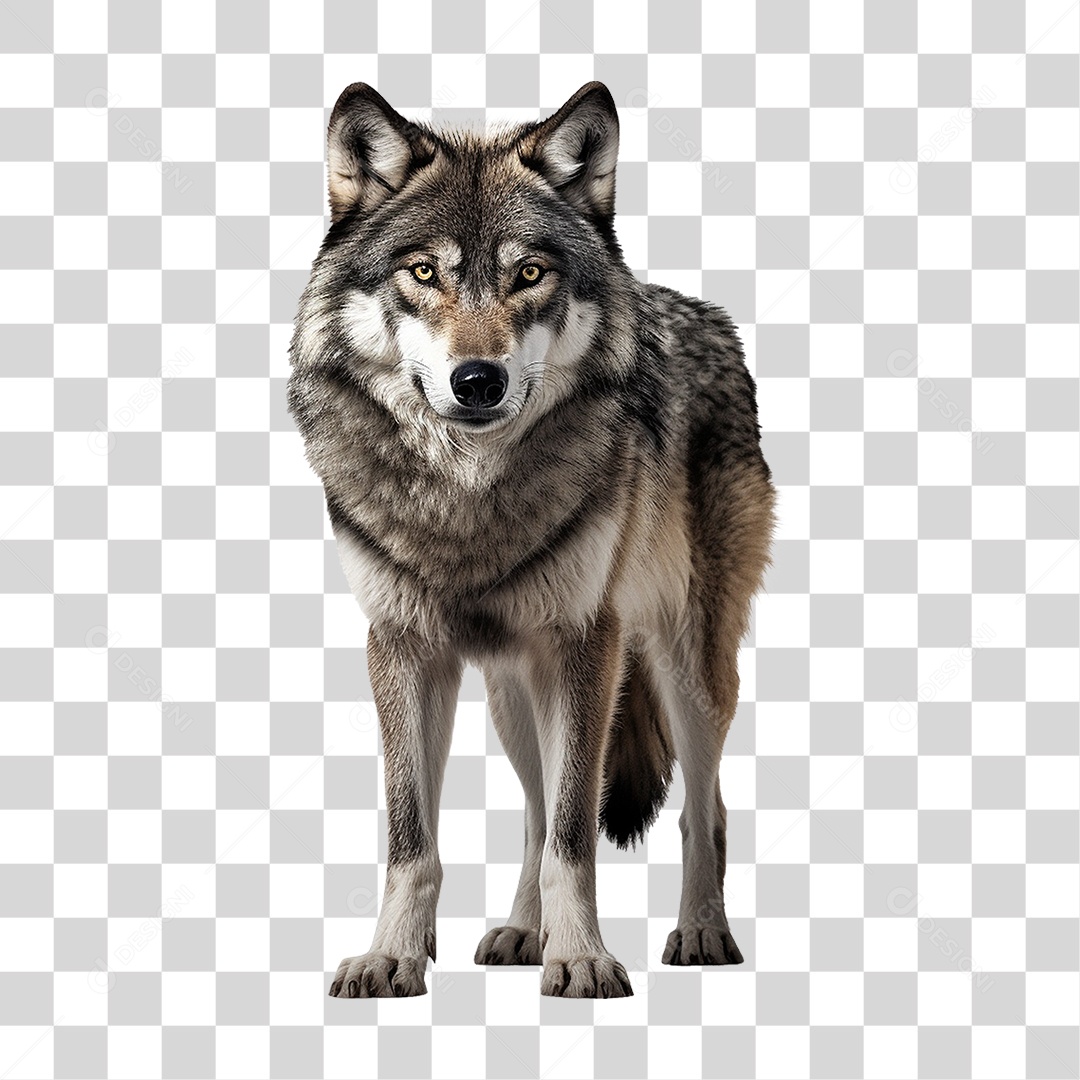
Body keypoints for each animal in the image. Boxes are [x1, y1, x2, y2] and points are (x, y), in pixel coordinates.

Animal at [287, 82, 777, 999]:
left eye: (530, 274)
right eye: (423, 272)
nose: (478, 380)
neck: (468, 500)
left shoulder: (589, 640)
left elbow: (576, 834)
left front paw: (581, 959)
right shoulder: (402, 645)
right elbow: (415, 837)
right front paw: (393, 956)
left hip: (684, 666)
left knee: (704, 807)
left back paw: (701, 931)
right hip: (516, 692)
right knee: (535, 805)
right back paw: (522, 930)